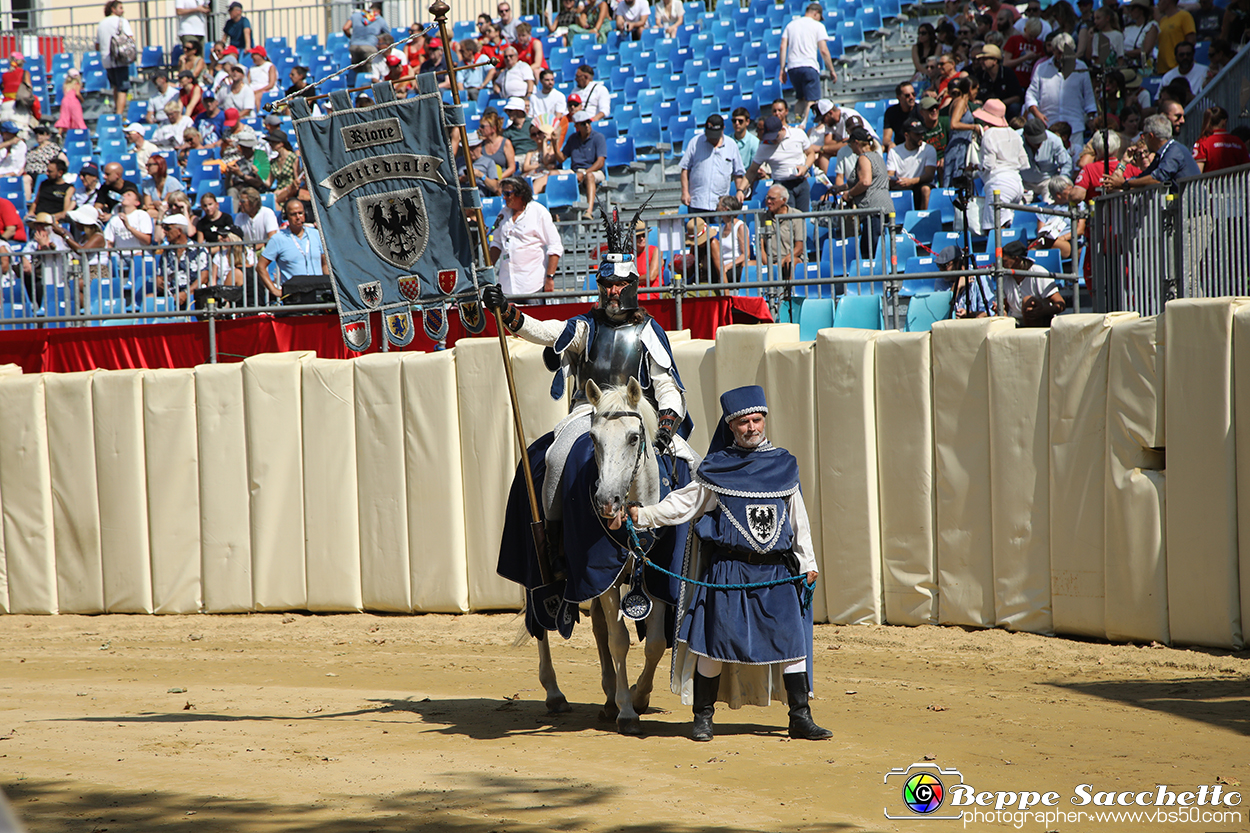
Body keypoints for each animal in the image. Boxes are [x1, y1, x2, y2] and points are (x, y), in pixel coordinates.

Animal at [537, 375, 675, 735]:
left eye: (633, 437)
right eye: (594, 439)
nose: (606, 501)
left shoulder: (656, 574)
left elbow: (655, 643)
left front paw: (638, 697)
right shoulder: (605, 578)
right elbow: (620, 641)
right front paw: (627, 711)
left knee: (599, 627)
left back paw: (609, 696)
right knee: (539, 621)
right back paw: (555, 693)